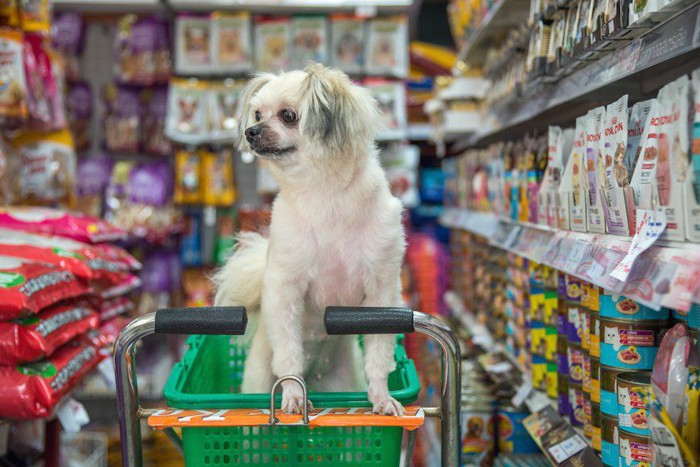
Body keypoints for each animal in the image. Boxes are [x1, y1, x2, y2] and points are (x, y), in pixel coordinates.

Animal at [216, 63, 408, 416]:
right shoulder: (285, 290)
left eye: (288, 115)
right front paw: (293, 395)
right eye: (257, 114)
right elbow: (288, 352)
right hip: (258, 379)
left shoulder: (382, 291)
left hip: (344, 381)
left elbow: (379, 352)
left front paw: (381, 396)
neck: (325, 195)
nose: (251, 131)